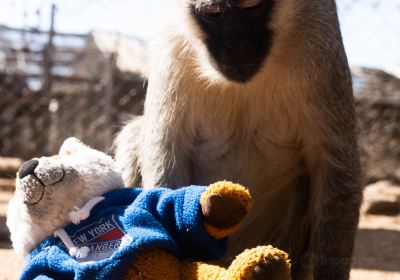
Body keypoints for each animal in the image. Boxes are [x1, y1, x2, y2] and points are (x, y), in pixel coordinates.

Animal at [115, 1, 362, 278]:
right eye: (213, 13)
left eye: (252, 8)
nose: (236, 46)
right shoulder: (171, 46)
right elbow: (167, 158)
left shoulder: (320, 44)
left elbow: (335, 169)